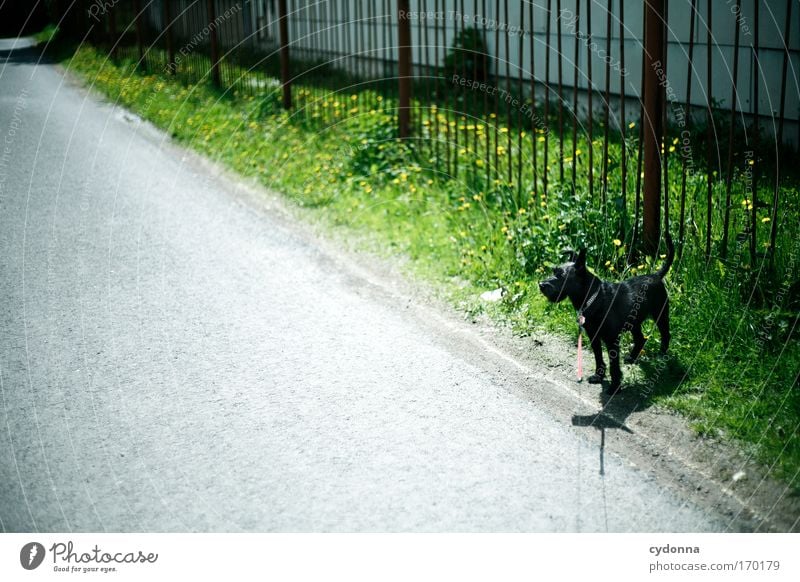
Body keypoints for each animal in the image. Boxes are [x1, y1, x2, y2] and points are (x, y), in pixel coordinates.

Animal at [536, 237, 676, 396]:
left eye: (561, 276)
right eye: (554, 271)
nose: (541, 285)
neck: (594, 298)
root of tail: (656, 275)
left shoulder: (611, 339)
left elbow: (613, 365)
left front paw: (615, 387)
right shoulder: (593, 336)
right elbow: (598, 356)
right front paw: (598, 375)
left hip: (660, 315)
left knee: (665, 335)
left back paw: (662, 356)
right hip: (634, 322)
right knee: (640, 339)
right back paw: (632, 357)